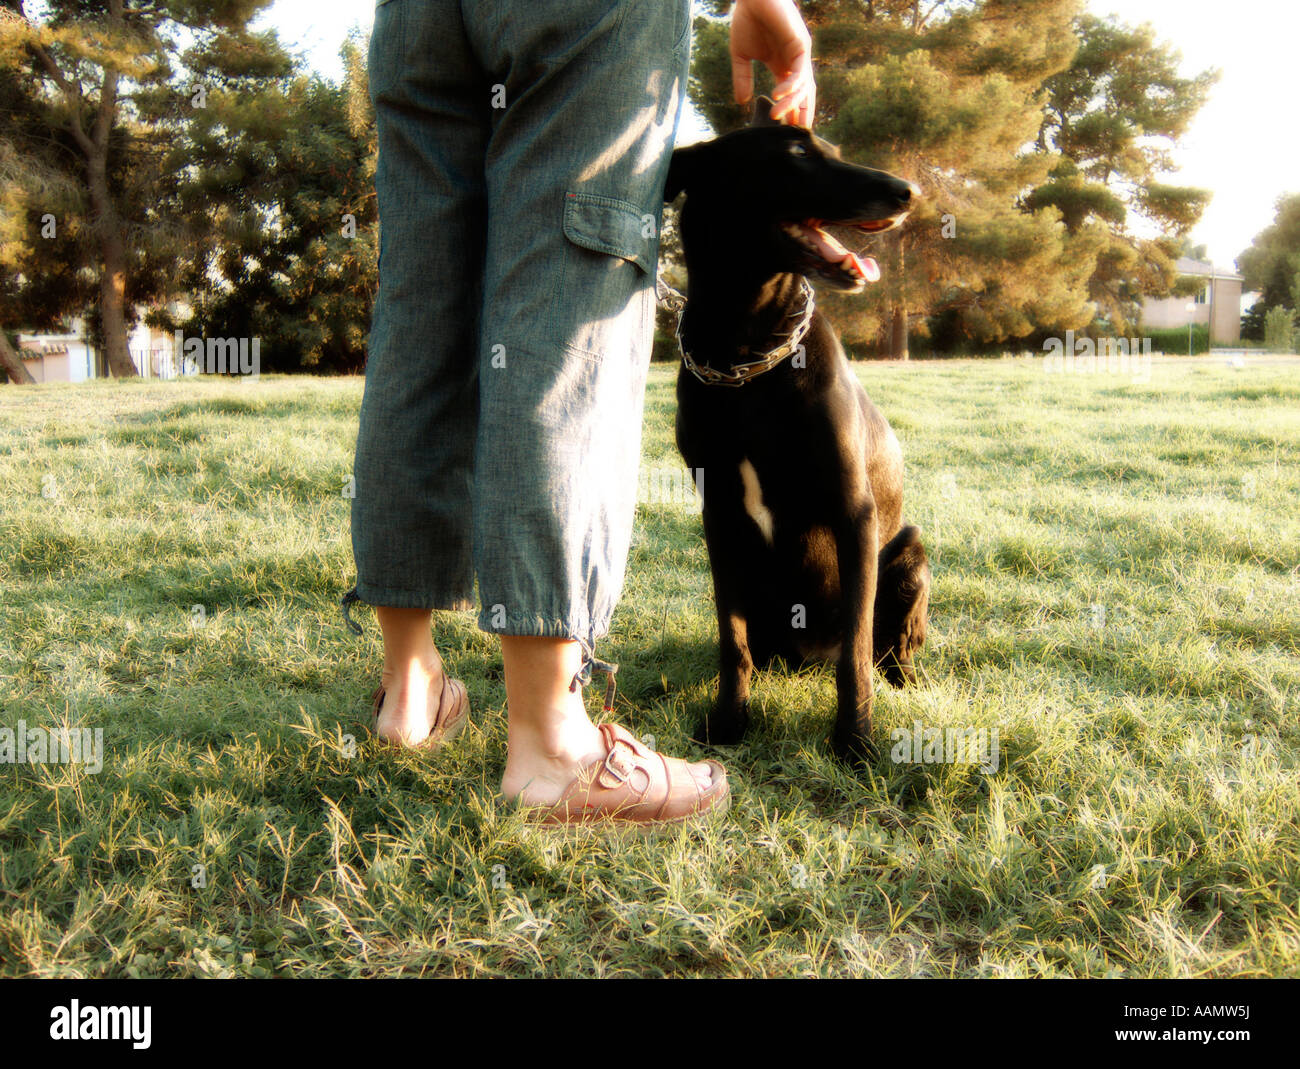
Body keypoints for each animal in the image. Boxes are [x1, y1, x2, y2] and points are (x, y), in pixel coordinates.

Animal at [665, 100, 930, 764]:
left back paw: (904, 679)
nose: (908, 192)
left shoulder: (853, 511)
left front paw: (854, 743)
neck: (748, 357)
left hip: (909, 553)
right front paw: (727, 722)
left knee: (887, 647)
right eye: (795, 155)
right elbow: (731, 643)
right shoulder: (719, 516)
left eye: (831, 148)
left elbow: (856, 654)